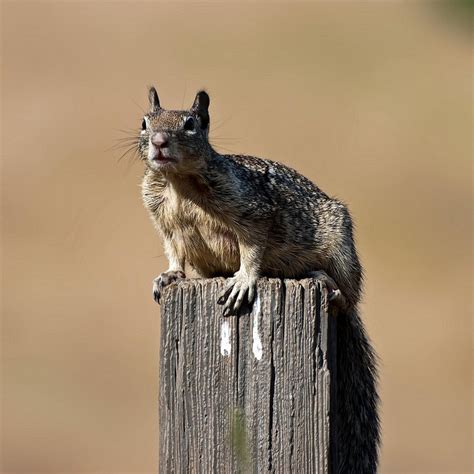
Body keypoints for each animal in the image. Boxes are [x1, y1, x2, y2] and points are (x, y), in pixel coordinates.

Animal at [135, 87, 380, 472]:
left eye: (190, 124)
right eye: (145, 122)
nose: (159, 142)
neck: (179, 185)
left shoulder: (253, 212)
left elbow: (251, 249)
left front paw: (243, 281)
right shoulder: (165, 224)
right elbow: (173, 251)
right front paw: (169, 276)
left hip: (341, 245)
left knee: (347, 297)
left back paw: (327, 283)